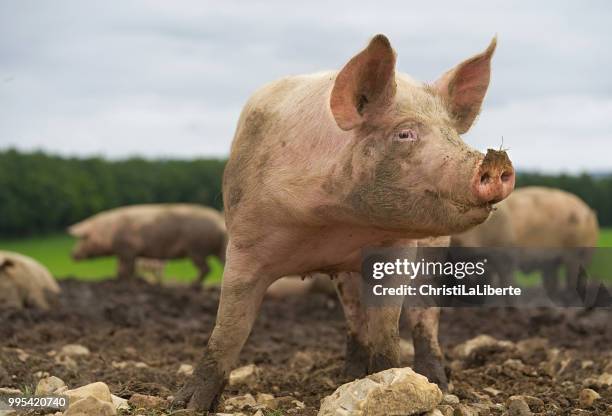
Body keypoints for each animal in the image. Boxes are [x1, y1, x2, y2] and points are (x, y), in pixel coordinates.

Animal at [68, 203, 227, 284]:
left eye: (83, 238)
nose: (72, 254)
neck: (108, 232)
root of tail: (219, 221)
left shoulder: (128, 249)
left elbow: (125, 269)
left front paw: (125, 282)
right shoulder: (124, 253)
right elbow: (122, 269)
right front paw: (121, 281)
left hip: (197, 248)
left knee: (206, 269)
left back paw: (192, 286)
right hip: (216, 248)